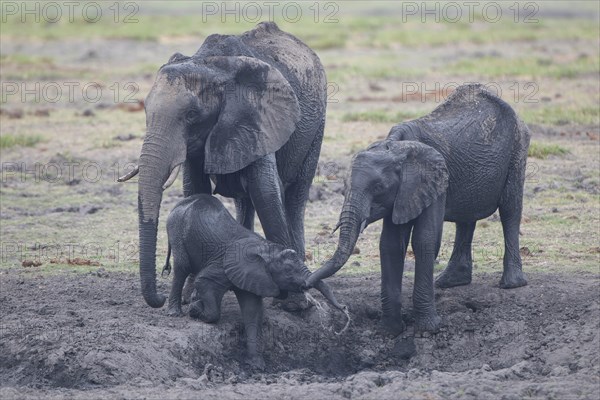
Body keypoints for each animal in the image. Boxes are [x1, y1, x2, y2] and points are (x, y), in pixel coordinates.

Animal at [120, 22, 328, 310]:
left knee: (296, 196)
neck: (210, 65)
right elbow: (195, 190)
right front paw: (191, 296)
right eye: (146, 112)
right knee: (244, 200)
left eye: (191, 115)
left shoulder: (258, 119)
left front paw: (296, 303)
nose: (159, 299)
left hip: (316, 127)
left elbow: (266, 193)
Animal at [164, 195, 344, 368]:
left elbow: (252, 311)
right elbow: (204, 281)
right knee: (182, 267)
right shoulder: (224, 265)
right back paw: (175, 312)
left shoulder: (254, 277)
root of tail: (179, 204)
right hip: (176, 230)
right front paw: (195, 310)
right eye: (288, 271)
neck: (266, 250)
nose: (344, 308)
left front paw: (256, 365)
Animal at [310, 83, 528, 334]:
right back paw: (449, 282)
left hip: (518, 149)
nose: (343, 311)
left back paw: (512, 284)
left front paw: (429, 327)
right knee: (467, 218)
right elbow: (391, 244)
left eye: (379, 187)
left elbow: (425, 240)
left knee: (510, 210)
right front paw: (391, 330)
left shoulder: (434, 180)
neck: (396, 147)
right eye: (344, 187)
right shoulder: (403, 195)